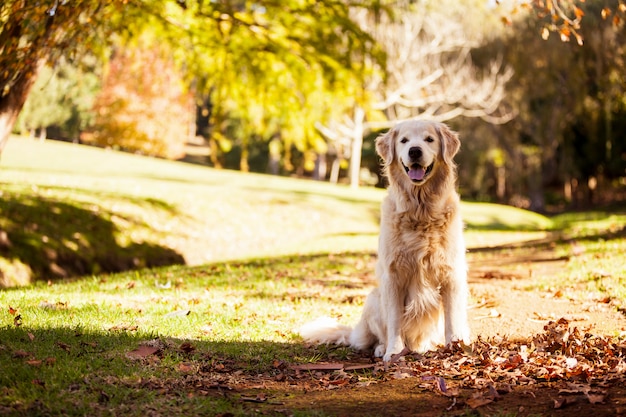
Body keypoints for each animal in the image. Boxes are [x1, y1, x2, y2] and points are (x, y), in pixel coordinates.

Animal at [298, 120, 468, 360]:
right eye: (404, 141)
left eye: (429, 139)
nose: (414, 151)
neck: (420, 211)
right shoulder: (393, 275)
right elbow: (395, 321)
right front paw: (393, 352)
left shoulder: (452, 273)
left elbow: (453, 319)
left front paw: (456, 346)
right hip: (373, 299)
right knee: (376, 337)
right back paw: (381, 348)